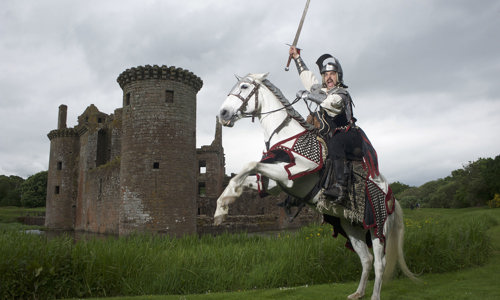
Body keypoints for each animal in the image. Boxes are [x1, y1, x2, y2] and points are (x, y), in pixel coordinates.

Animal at [214, 73, 414, 300]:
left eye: (244, 87)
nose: (223, 113)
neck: (285, 133)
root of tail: (391, 196)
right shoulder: (274, 179)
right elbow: (241, 175)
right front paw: (221, 208)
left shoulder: (290, 172)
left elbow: (250, 164)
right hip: (351, 227)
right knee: (366, 259)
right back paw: (358, 293)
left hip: (378, 227)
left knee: (380, 263)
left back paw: (374, 296)